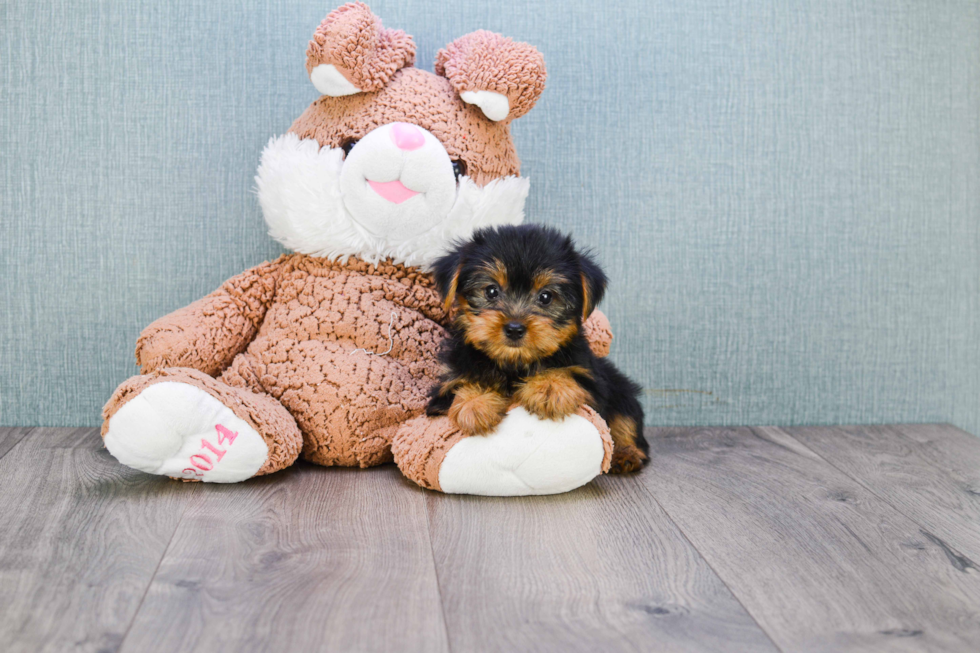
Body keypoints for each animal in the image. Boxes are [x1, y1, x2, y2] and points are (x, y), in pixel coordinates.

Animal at [424, 227, 648, 472]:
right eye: (491, 291)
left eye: (546, 297)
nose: (514, 328)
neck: (514, 363)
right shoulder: (445, 387)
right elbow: (461, 385)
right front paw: (475, 403)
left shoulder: (593, 384)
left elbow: (572, 376)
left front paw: (548, 386)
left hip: (620, 388)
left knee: (626, 419)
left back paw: (627, 454)